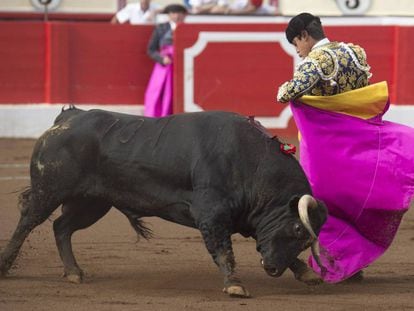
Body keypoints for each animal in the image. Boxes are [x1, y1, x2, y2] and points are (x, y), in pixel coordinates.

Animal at [0, 108, 326, 298]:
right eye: (297, 229)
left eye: (304, 241)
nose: (272, 269)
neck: (250, 162)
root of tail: (67, 118)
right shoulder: (212, 214)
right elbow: (223, 250)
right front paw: (234, 284)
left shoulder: (248, 219)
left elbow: (262, 243)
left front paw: (307, 273)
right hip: (50, 190)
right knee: (28, 221)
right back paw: (5, 266)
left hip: (91, 203)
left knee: (61, 227)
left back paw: (73, 273)